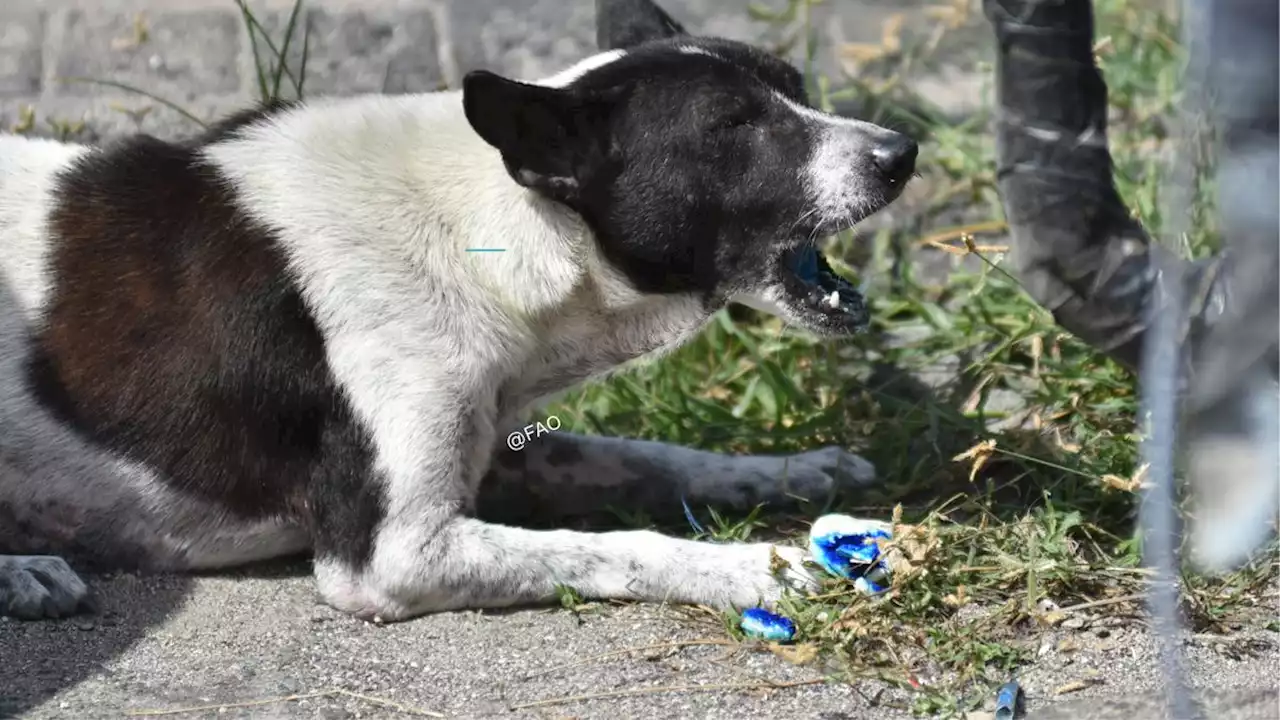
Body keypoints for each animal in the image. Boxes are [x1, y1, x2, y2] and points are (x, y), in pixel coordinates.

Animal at [2, 0, 921, 620]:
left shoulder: (499, 443)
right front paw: (769, 567)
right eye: (731, 127)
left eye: (797, 90)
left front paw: (794, 471)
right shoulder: (397, 554)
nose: (902, 153)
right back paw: (24, 571)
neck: (493, 224)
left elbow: (658, 458)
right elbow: (618, 546)